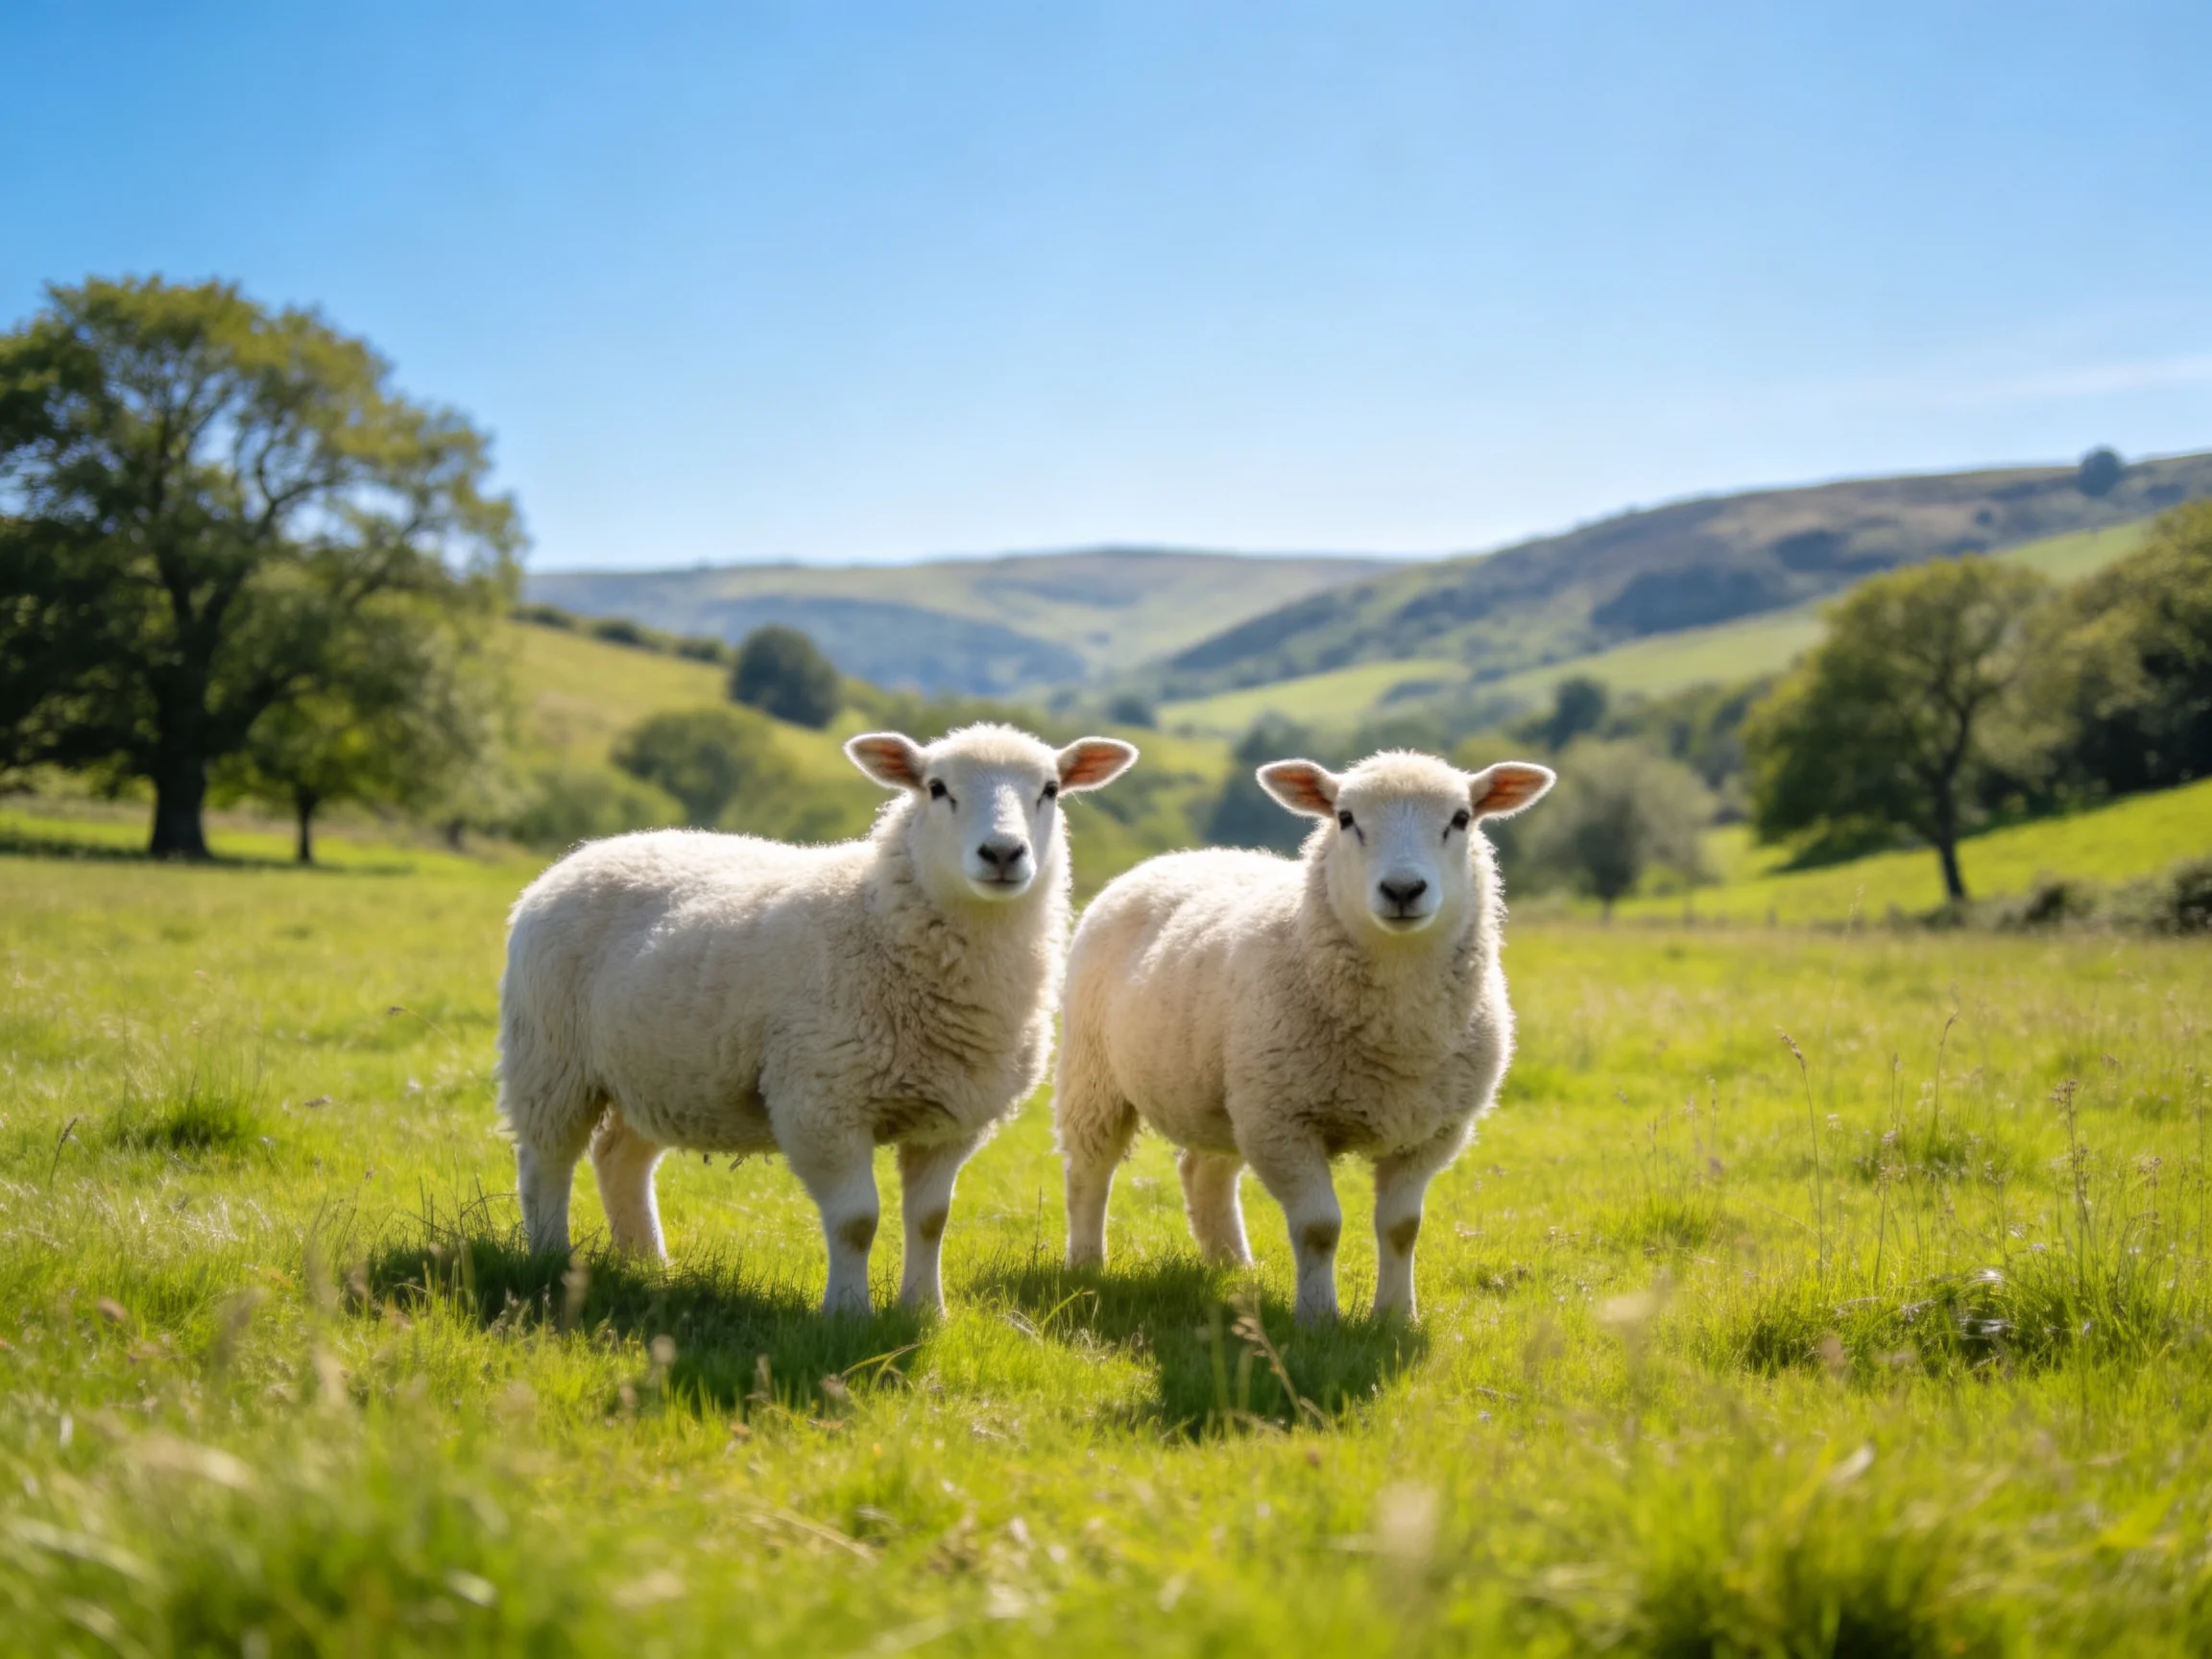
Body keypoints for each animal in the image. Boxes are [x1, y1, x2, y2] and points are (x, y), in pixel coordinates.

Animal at [498, 723, 1138, 1315]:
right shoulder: (821, 1102)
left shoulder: (950, 1117)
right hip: (550, 1057)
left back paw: (648, 1264)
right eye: (936, 788)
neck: (876, 919)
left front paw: (924, 1312)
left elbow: (931, 1219)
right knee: (545, 1162)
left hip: (657, 1072)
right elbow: (857, 1220)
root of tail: (583, 854)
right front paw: (850, 1314)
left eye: (1050, 789)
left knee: (619, 1159)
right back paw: (551, 1259)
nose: (1003, 854)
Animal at [1054, 750, 1553, 1324]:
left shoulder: (1430, 1132)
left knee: (1204, 1172)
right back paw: (1086, 1267)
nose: (1403, 890)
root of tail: (1174, 858)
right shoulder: (1284, 1121)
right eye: (1345, 818)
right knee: (1089, 1171)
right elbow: (1319, 1227)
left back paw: (1234, 1269)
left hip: (1228, 1094)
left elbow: (1402, 1228)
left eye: (1461, 818)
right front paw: (1318, 1319)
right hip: (1095, 1071)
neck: (1398, 1034)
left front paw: (1395, 1317)